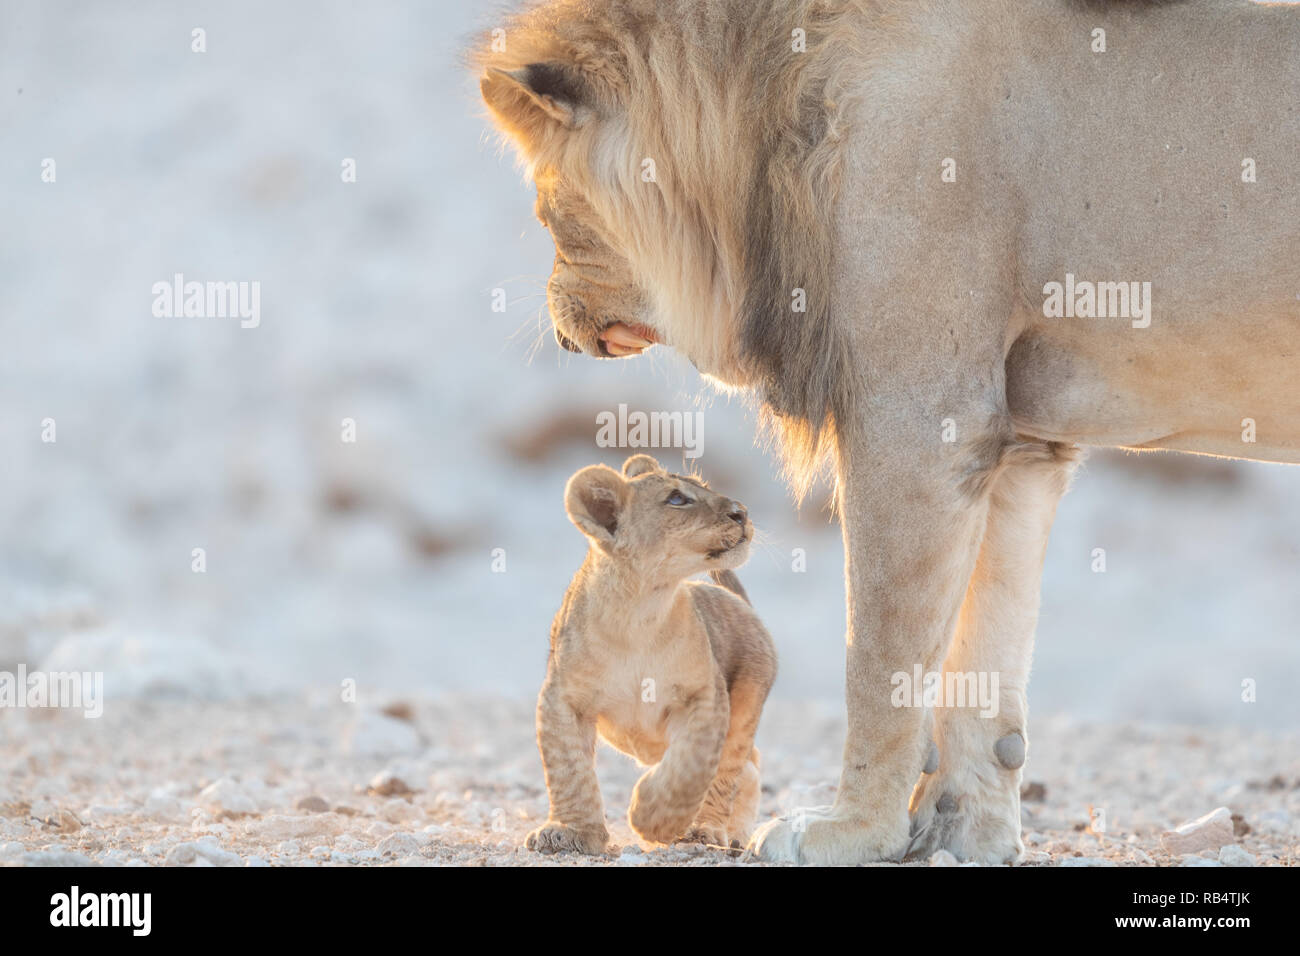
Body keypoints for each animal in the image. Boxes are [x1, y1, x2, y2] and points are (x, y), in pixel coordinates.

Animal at [478, 0, 1300, 868]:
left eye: (546, 205)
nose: (561, 331)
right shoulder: (1019, 442)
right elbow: (983, 667)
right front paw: (961, 832)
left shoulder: (916, 416)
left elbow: (881, 659)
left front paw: (851, 830)